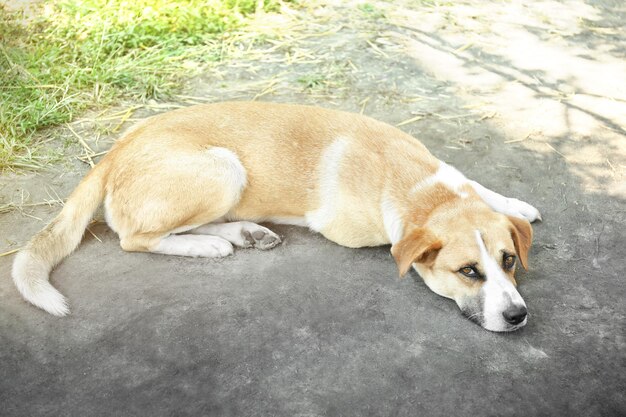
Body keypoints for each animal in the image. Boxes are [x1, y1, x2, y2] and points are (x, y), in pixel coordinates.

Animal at [9, 101, 540, 332]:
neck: (419, 186)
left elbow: (479, 188)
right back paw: (209, 244)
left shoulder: (449, 178)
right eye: (467, 272)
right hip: (224, 168)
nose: (518, 316)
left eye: (509, 261)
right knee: (134, 238)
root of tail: (114, 151)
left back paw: (242, 233)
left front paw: (515, 205)